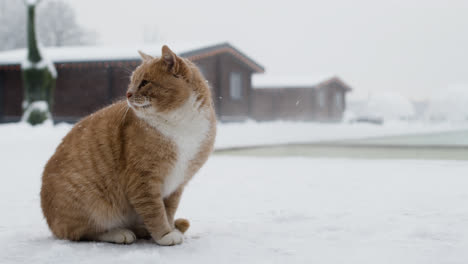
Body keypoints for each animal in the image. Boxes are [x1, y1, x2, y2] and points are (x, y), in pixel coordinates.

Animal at [40, 45, 216, 245]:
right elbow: (155, 212)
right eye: (132, 82)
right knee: (84, 233)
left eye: (145, 82)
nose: (128, 94)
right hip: (90, 204)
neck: (180, 124)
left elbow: (169, 211)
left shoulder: (176, 184)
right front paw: (164, 234)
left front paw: (170, 228)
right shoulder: (143, 180)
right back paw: (119, 233)